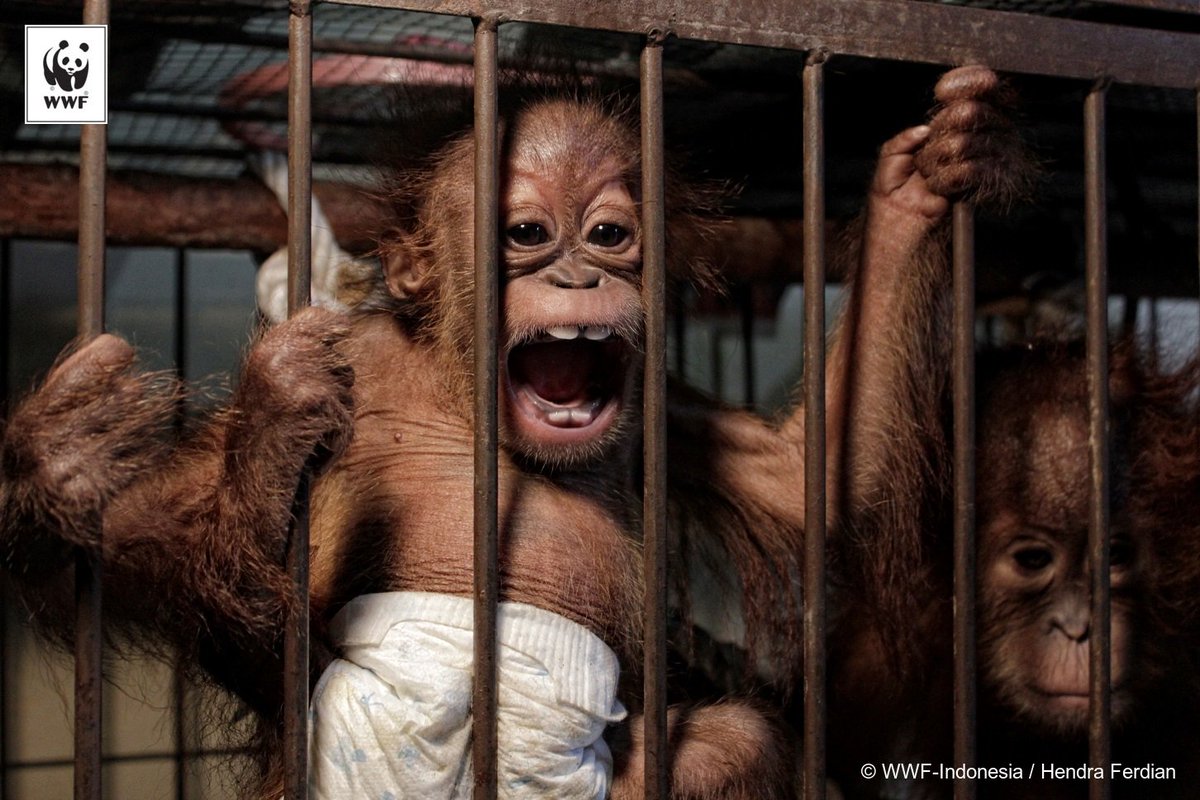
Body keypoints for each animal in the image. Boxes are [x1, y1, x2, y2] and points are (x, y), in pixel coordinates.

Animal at [0, 72, 1016, 798]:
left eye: (607, 234)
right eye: (526, 232)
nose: (575, 279)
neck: (467, 398)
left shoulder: (665, 414)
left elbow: (813, 477)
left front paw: (920, 184)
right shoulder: (358, 359)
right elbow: (170, 550)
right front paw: (85, 456)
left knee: (728, 742)